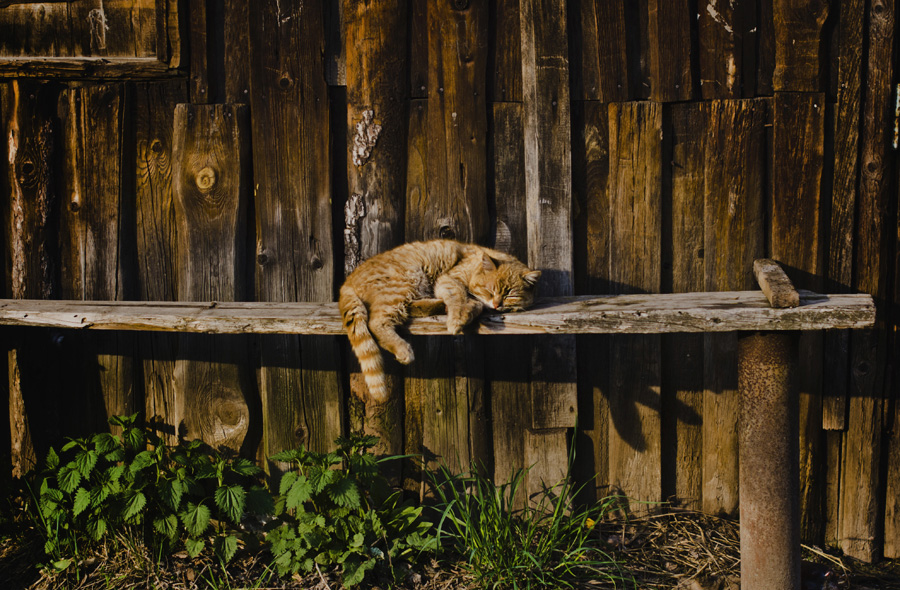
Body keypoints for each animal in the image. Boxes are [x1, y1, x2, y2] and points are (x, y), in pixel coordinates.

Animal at [342, 239, 540, 402]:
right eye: (490, 290)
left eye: (510, 296)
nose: (497, 304)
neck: (474, 264)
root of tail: (347, 282)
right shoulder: (449, 279)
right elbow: (458, 296)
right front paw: (458, 318)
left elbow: (473, 304)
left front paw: (467, 311)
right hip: (404, 282)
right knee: (376, 322)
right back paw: (403, 349)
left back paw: (438, 305)